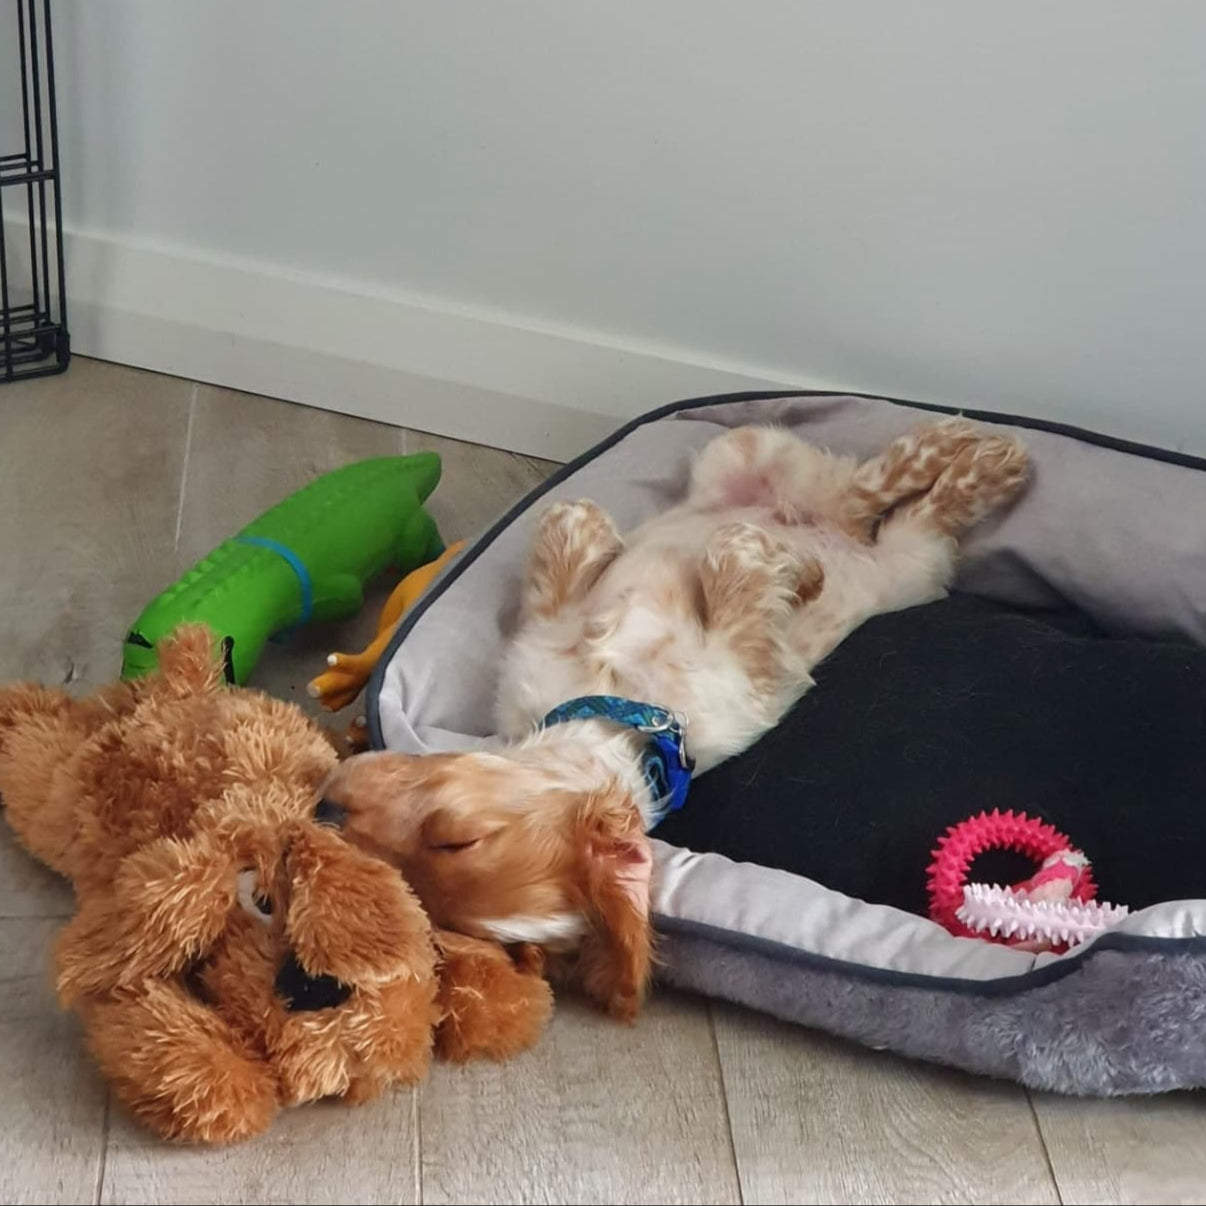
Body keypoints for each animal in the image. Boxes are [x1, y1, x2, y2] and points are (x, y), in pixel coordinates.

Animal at [318, 419, 1027, 1022]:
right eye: (404, 884)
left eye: (457, 839)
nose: (324, 809)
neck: (620, 710)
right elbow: (573, 520)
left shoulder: (746, 675)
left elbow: (674, 536)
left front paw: (794, 573)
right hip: (807, 490)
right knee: (880, 506)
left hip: (785, 477)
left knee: (861, 496)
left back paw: (981, 452)